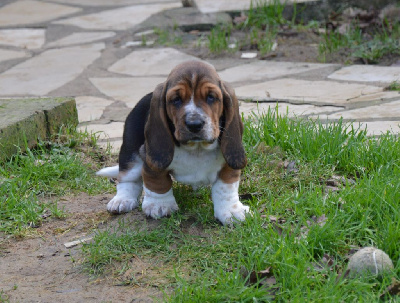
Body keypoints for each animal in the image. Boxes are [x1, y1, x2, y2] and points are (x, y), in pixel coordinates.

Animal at [96, 60, 250, 226]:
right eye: (176, 99)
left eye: (211, 97)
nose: (194, 124)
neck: (196, 149)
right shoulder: (150, 158)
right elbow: (157, 181)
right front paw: (160, 205)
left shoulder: (229, 160)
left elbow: (225, 187)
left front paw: (231, 211)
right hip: (131, 152)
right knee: (127, 178)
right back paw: (122, 200)